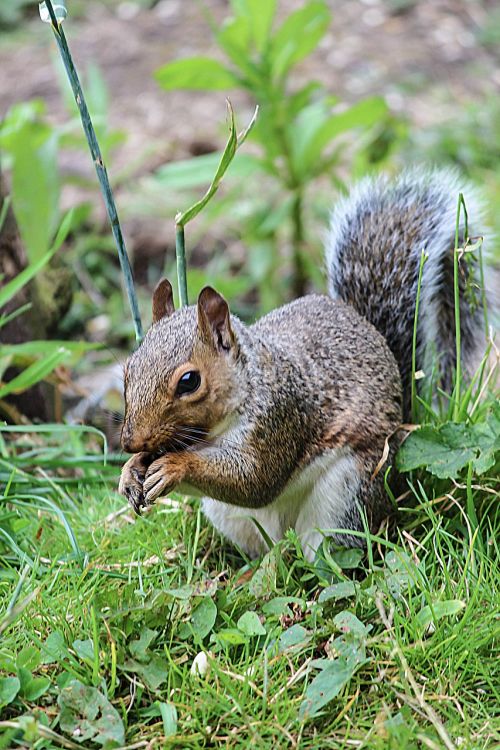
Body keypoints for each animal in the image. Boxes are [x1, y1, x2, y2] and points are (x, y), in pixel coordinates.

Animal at [119, 167, 486, 560]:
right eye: (128, 370)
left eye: (189, 381)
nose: (130, 441)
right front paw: (130, 472)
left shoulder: (279, 419)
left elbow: (255, 480)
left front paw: (175, 465)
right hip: (232, 517)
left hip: (346, 495)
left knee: (325, 555)